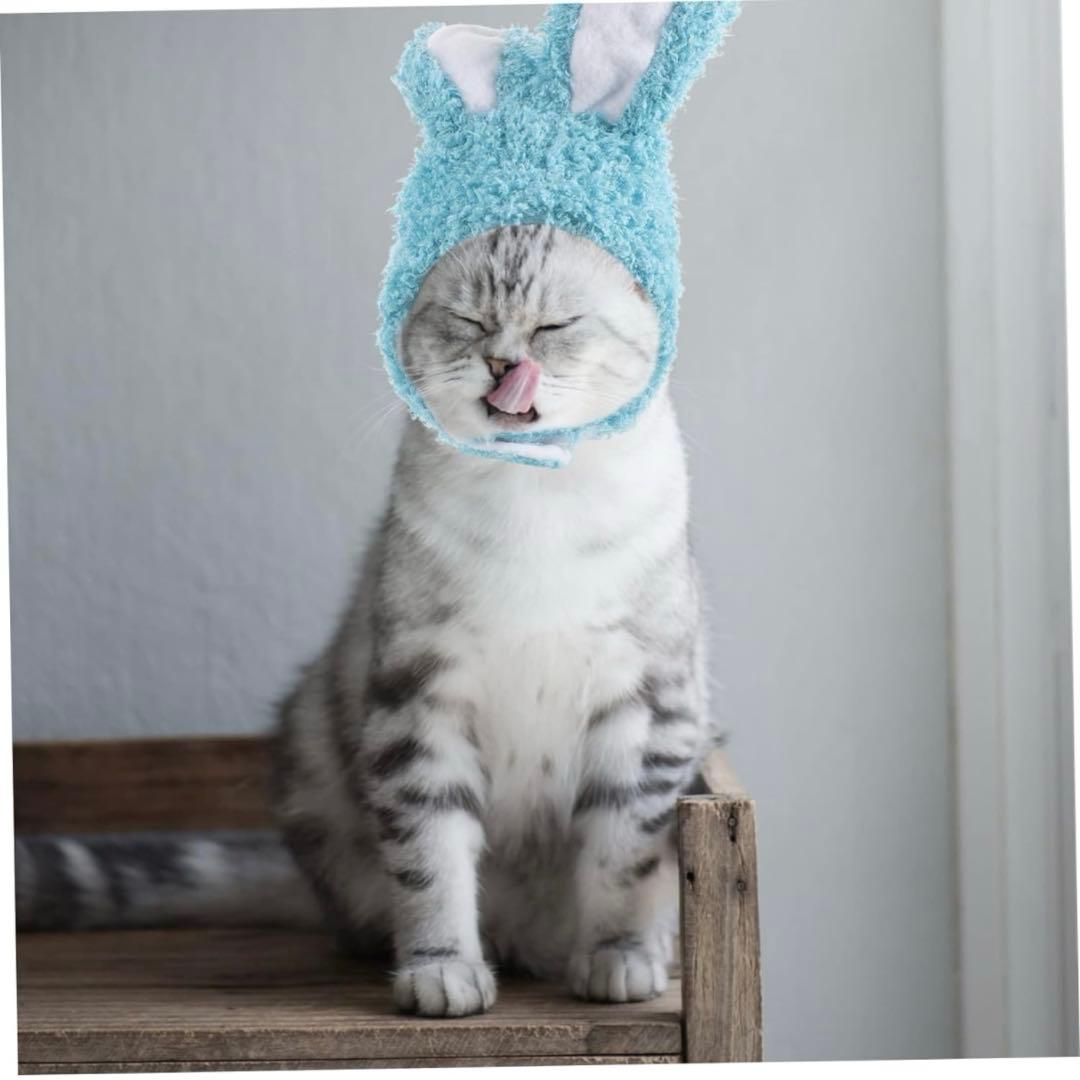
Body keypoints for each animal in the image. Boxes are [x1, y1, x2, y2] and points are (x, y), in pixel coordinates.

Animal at [16, 223, 716, 1018]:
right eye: (468, 321)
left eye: (554, 327)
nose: (504, 362)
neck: (533, 508)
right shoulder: (418, 699)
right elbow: (431, 861)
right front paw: (441, 972)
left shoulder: (649, 705)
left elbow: (621, 859)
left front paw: (618, 958)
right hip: (312, 745)